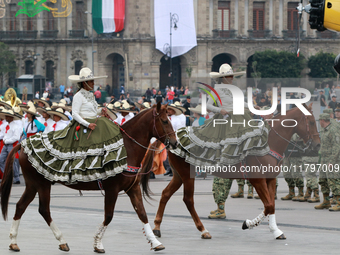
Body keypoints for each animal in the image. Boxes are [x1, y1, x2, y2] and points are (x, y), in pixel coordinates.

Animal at [1, 102, 178, 253]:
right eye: (164, 121)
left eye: (169, 119)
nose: (175, 143)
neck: (127, 148)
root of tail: (23, 144)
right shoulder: (112, 189)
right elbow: (108, 216)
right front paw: (98, 244)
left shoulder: (132, 188)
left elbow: (142, 213)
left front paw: (155, 242)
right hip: (41, 184)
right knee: (44, 210)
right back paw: (61, 240)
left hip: (33, 185)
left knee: (21, 206)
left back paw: (14, 242)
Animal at [139, 102, 320, 240]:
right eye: (311, 122)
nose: (316, 144)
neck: (269, 142)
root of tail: (172, 137)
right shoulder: (257, 180)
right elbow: (268, 205)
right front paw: (249, 224)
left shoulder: (271, 179)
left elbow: (272, 206)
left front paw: (275, 230)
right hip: (186, 175)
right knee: (188, 200)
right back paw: (203, 230)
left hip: (178, 175)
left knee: (165, 194)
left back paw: (157, 227)